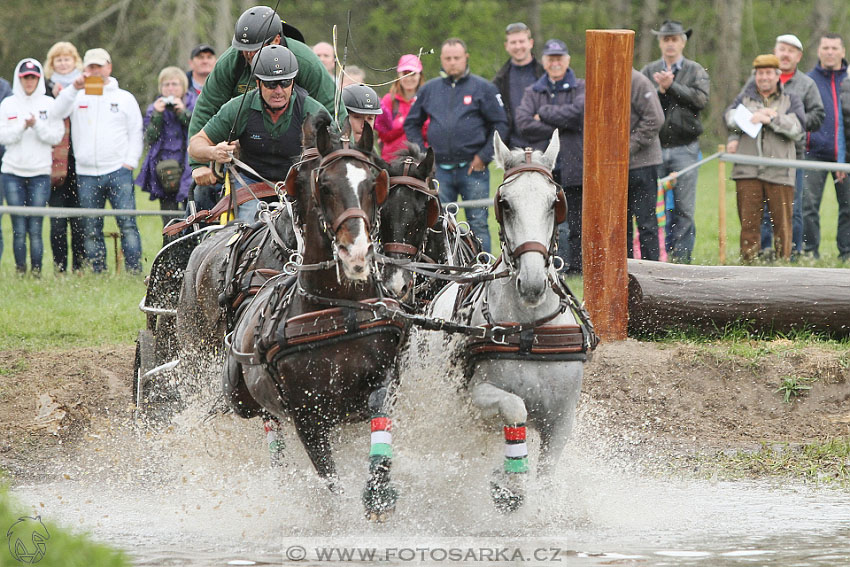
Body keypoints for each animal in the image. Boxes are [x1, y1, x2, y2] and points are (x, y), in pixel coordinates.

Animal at [224, 117, 406, 520]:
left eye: (374, 183)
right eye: (324, 186)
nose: (357, 252)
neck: (339, 308)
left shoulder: (381, 379)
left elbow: (380, 412)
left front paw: (379, 490)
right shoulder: (308, 415)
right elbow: (329, 477)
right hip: (245, 399)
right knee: (271, 427)